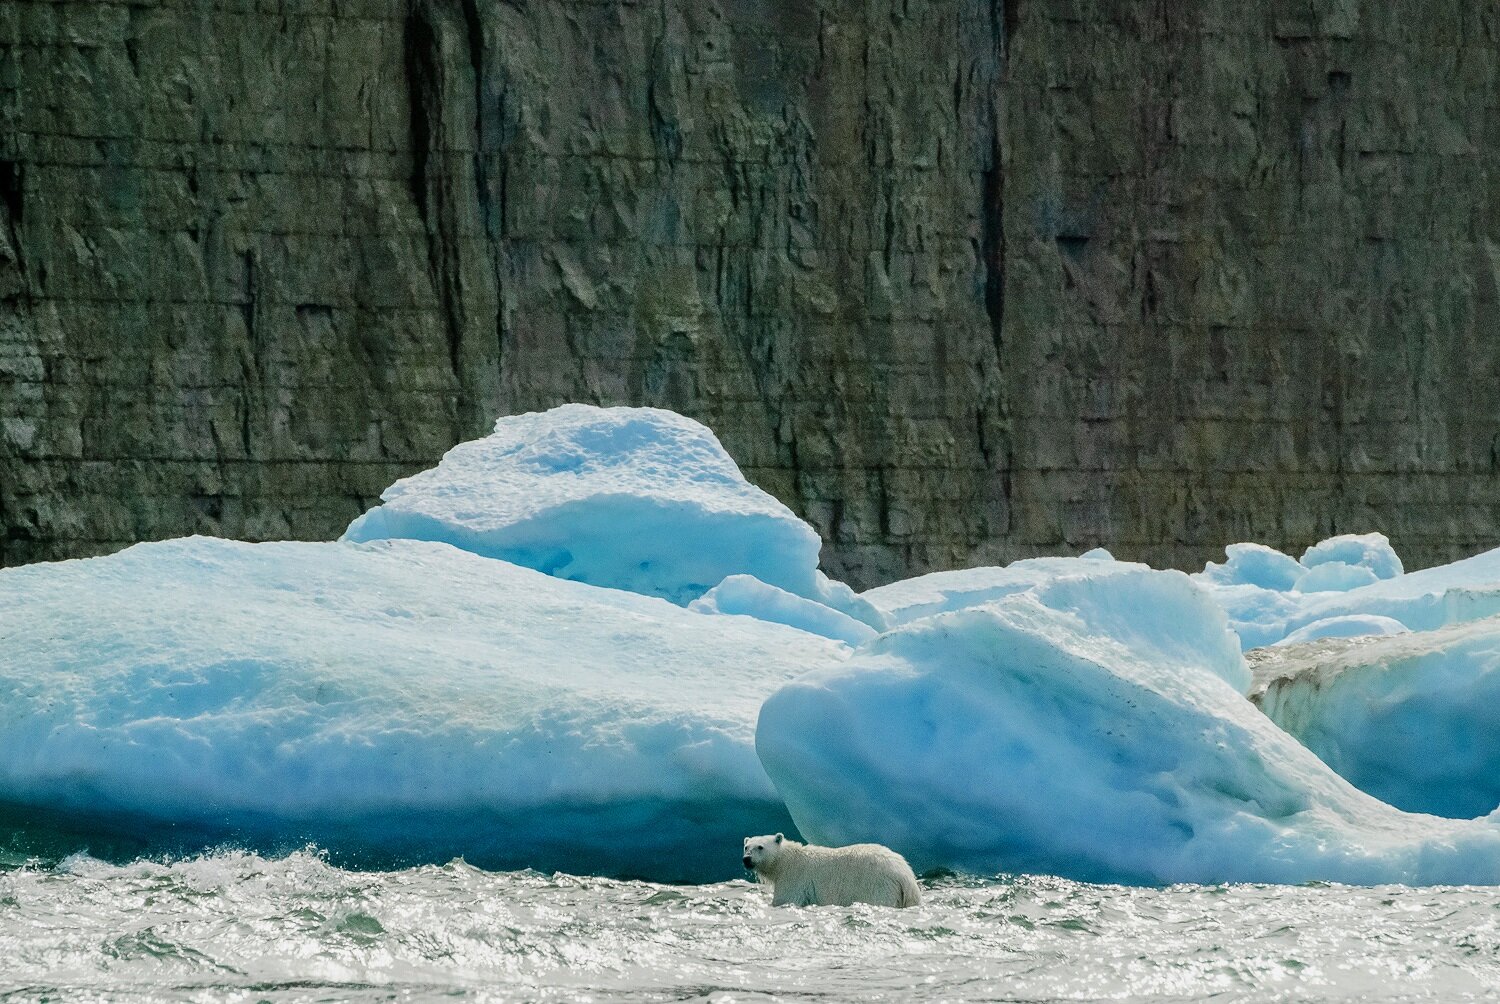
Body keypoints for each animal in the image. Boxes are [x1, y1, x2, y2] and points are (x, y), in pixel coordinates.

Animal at [738, 834, 912, 906]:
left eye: (760, 847)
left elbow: (786, 899)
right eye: (746, 847)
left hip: (878, 885)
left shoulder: (794, 878)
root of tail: (904, 876)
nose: (746, 859)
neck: (786, 860)